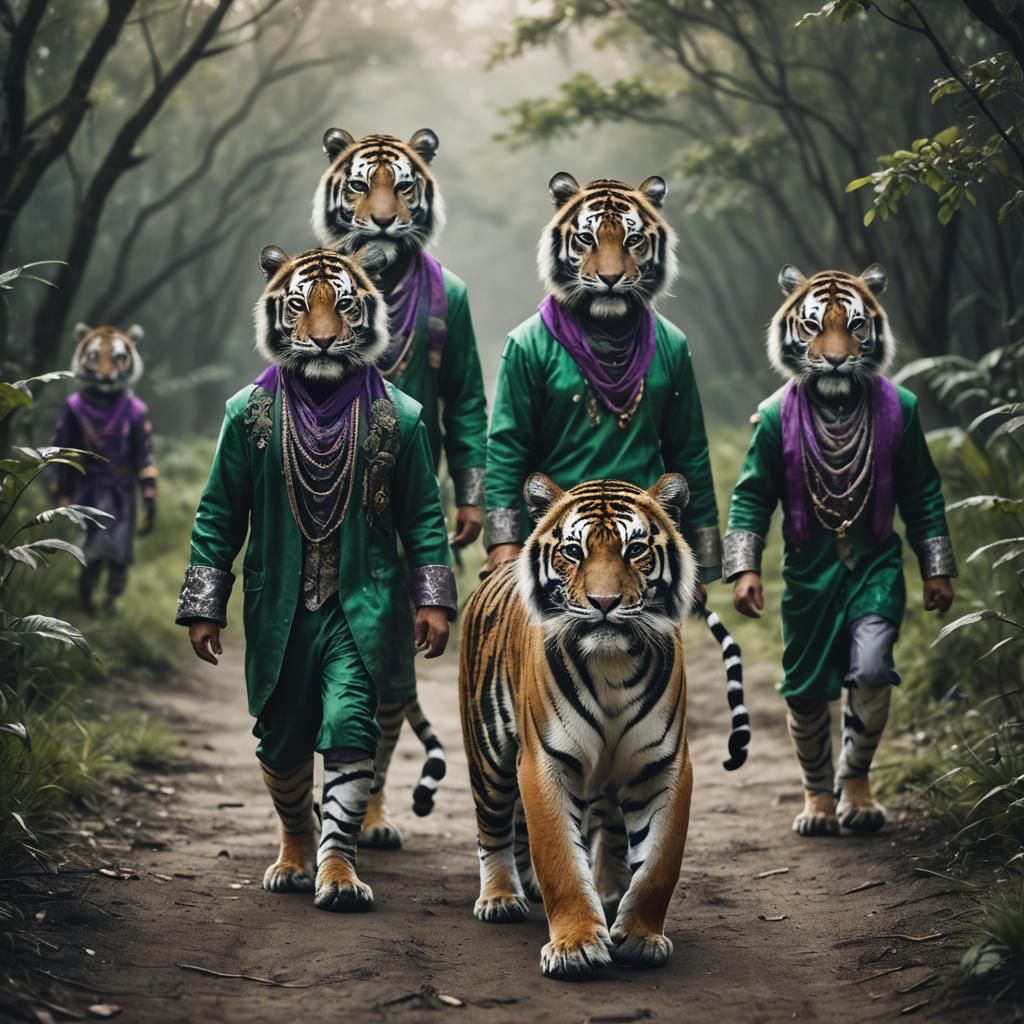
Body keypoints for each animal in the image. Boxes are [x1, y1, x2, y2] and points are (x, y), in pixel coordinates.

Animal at [460, 473, 698, 980]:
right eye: (573, 551)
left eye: (635, 549)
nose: (604, 603)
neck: (612, 665)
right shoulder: (544, 763)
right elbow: (560, 860)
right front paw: (576, 947)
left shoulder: (664, 766)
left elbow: (658, 865)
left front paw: (641, 938)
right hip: (488, 753)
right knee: (493, 826)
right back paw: (501, 898)